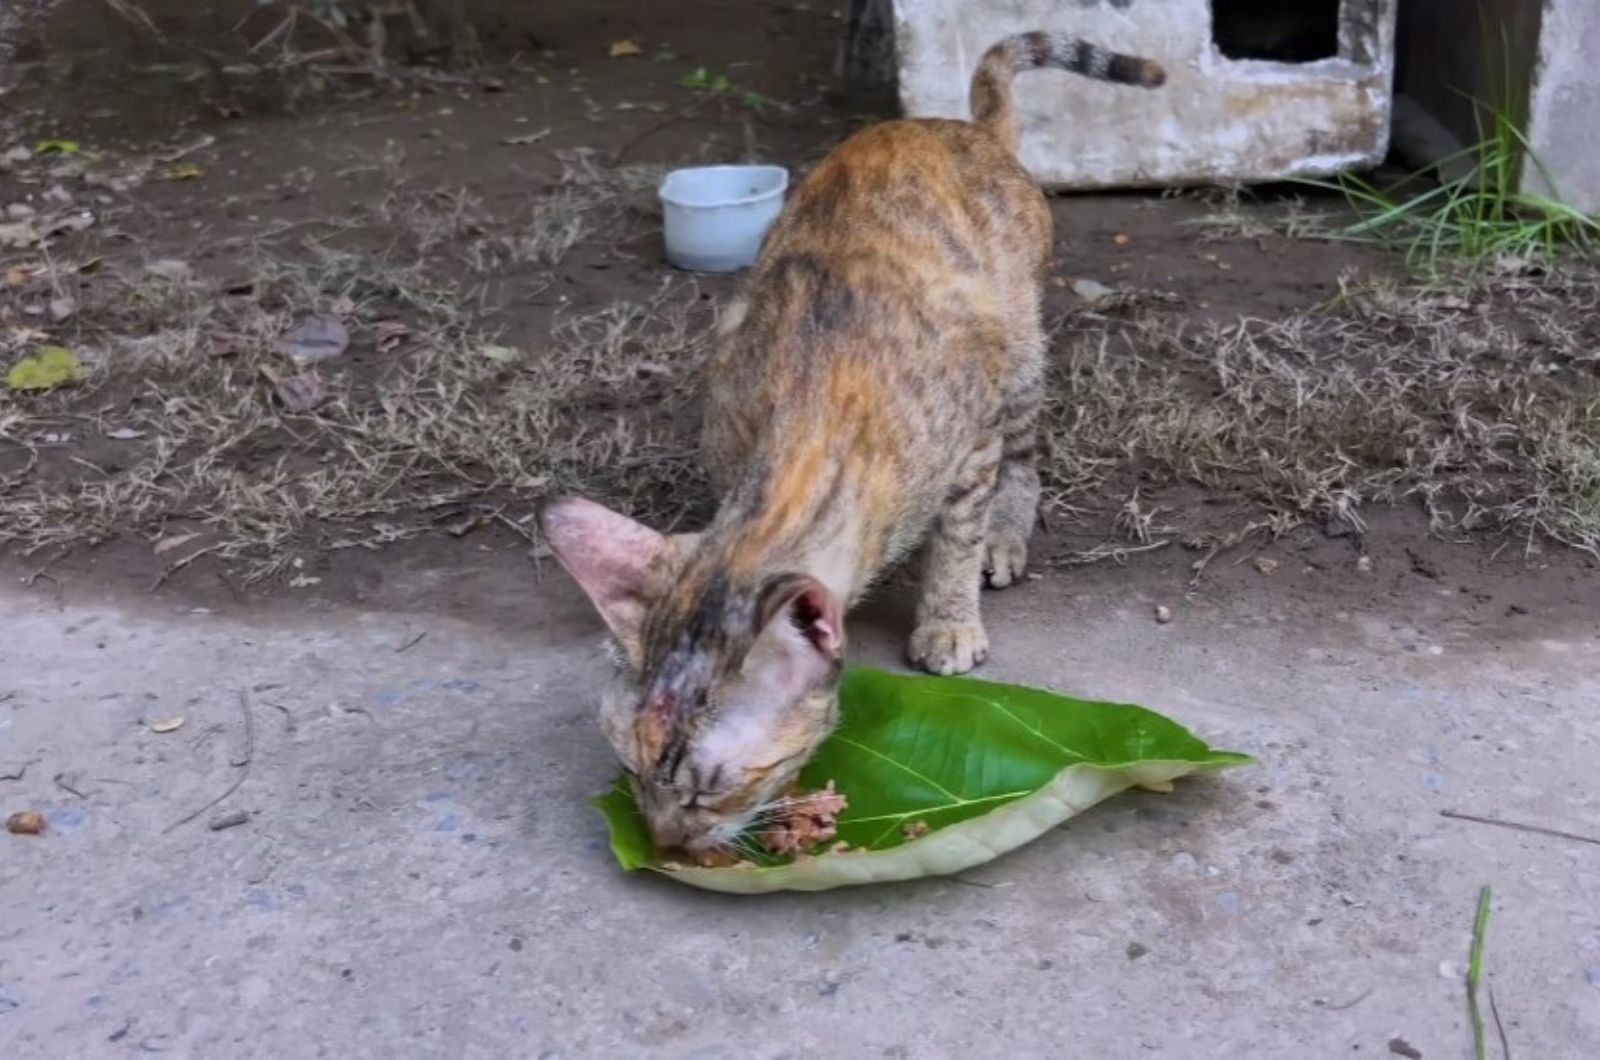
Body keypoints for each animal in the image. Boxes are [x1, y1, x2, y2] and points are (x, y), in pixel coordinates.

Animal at [540, 33, 1164, 864]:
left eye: (709, 789)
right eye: (631, 768)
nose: (665, 841)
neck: (810, 420)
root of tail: (962, 126)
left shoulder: (969, 443)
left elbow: (955, 540)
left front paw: (948, 617)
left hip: (1020, 350)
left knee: (1025, 457)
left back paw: (1005, 536)